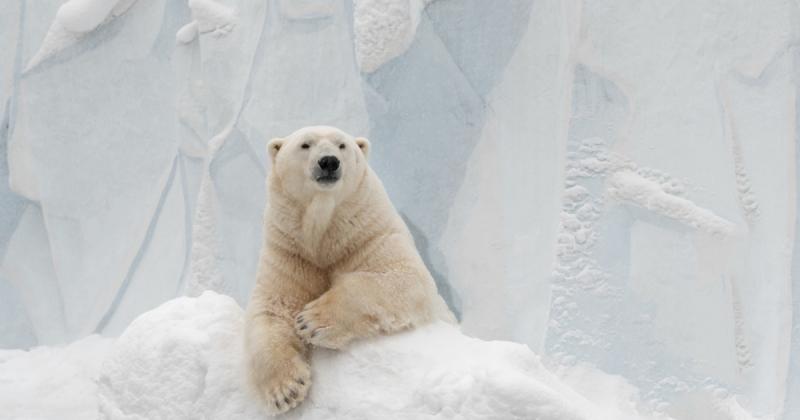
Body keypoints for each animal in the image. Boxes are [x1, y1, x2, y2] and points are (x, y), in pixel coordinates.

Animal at [244, 124, 454, 414]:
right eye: (305, 144)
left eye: (342, 145)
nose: (329, 162)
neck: (324, 237)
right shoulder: (290, 253)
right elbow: (272, 308)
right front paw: (286, 390)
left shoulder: (367, 236)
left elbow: (405, 276)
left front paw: (311, 321)